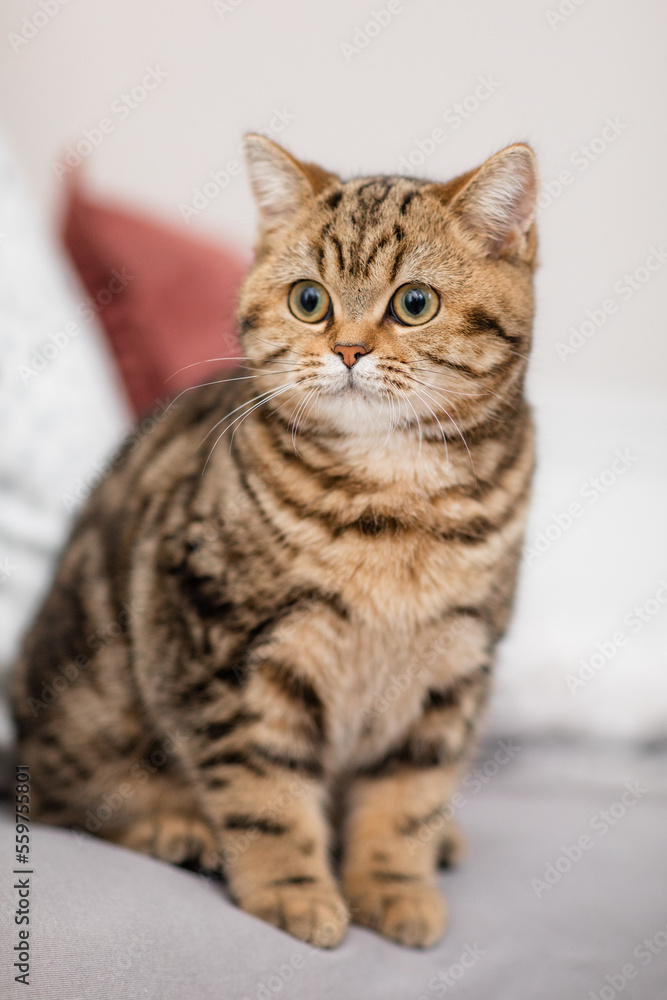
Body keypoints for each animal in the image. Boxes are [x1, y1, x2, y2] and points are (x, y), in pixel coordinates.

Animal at [11, 137, 536, 948]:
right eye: (309, 300)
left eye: (415, 303)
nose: (348, 350)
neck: (391, 505)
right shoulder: (223, 650)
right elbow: (264, 793)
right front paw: (294, 889)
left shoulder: (455, 664)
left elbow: (408, 796)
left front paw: (395, 885)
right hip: (85, 711)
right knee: (63, 797)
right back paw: (175, 826)